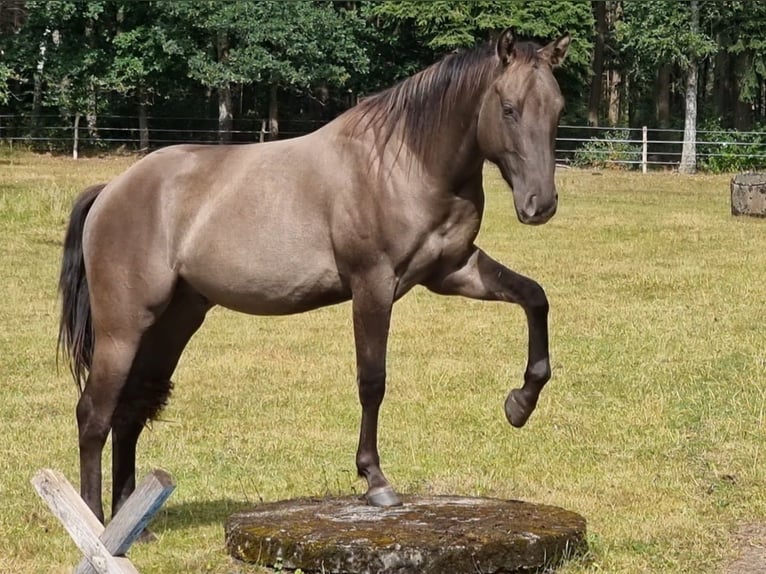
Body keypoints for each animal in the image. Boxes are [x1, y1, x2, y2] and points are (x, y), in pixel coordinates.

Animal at [58, 28, 570, 525]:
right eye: (509, 108)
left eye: (558, 109)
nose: (540, 205)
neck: (404, 162)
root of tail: (112, 190)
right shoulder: (373, 285)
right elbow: (372, 380)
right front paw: (375, 480)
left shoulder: (453, 270)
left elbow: (534, 297)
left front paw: (520, 403)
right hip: (123, 329)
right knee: (93, 414)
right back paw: (94, 520)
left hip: (172, 323)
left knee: (130, 409)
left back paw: (131, 516)